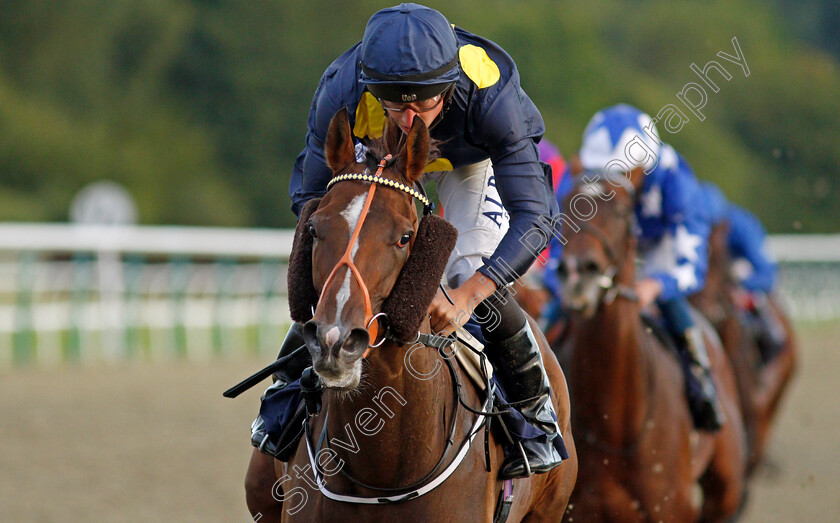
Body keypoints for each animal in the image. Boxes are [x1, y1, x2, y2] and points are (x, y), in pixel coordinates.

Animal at [556, 177, 744, 523]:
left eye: (620, 210)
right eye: (563, 205)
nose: (577, 273)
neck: (614, 425)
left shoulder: (671, 509)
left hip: (725, 487)